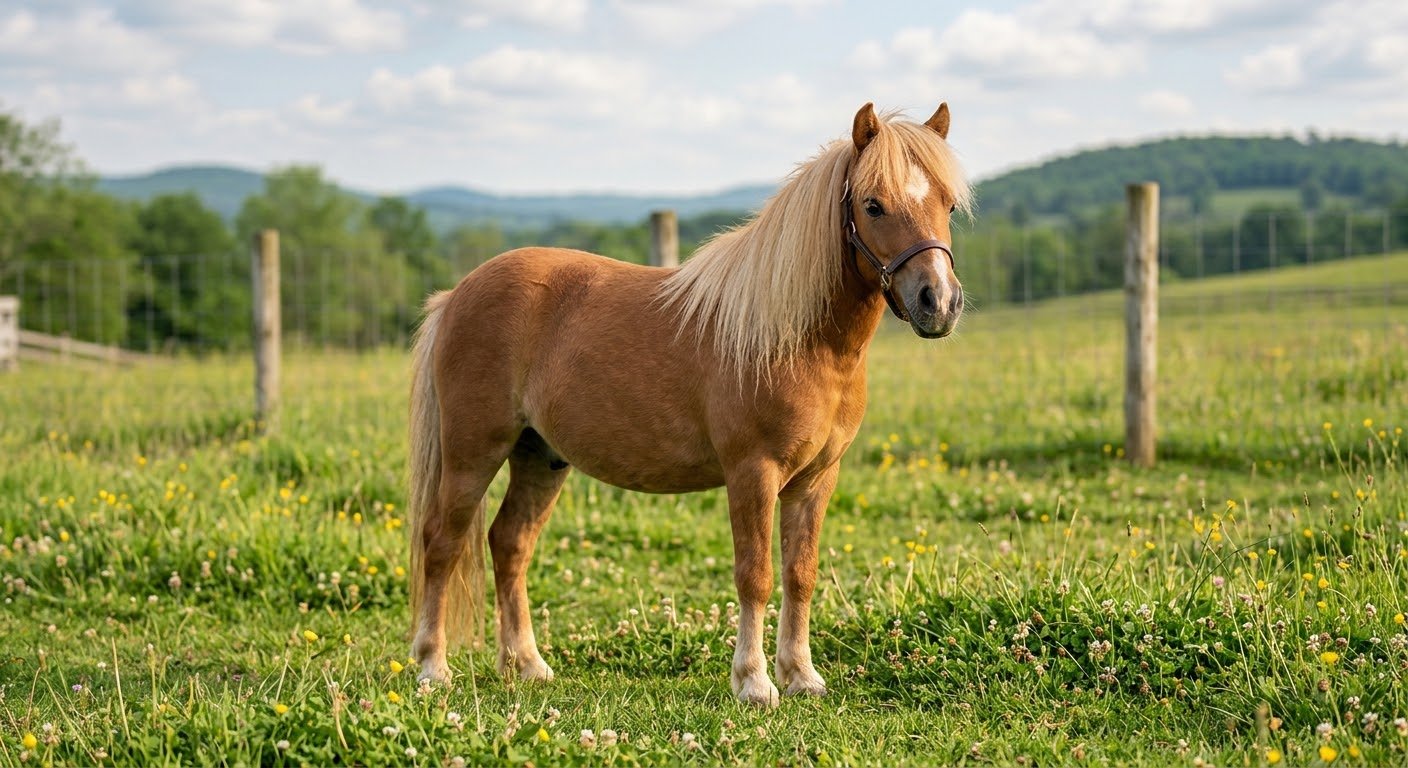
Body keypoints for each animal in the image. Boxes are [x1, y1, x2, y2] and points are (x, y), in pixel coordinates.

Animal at [408, 101, 972, 707]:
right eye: (873, 204)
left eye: (947, 203)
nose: (938, 302)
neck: (796, 339)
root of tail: (456, 295)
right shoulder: (752, 473)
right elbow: (755, 575)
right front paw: (754, 682)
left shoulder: (817, 479)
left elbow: (801, 574)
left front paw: (801, 675)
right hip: (472, 454)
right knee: (441, 543)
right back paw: (432, 668)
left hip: (540, 458)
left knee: (510, 543)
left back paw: (527, 664)